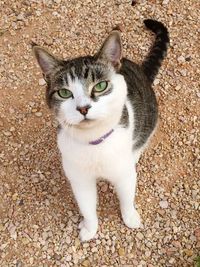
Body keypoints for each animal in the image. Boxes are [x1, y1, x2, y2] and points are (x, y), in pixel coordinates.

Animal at [32, 18, 169, 241]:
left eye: (100, 86)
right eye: (64, 93)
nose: (83, 108)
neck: (94, 142)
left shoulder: (123, 174)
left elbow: (127, 197)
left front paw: (130, 218)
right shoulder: (80, 179)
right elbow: (87, 207)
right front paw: (90, 229)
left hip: (150, 117)